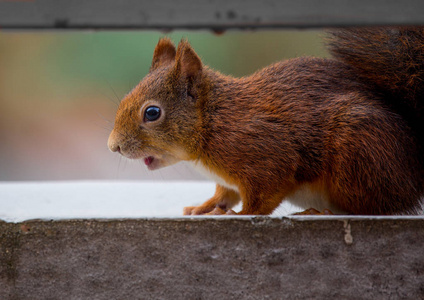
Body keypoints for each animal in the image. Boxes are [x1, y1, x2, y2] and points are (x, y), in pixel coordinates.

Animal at [107, 28, 424, 214]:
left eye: (152, 113)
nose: (113, 147)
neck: (214, 122)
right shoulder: (229, 180)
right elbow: (225, 194)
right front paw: (205, 207)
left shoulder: (266, 156)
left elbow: (262, 199)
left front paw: (238, 216)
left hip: (359, 149)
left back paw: (321, 211)